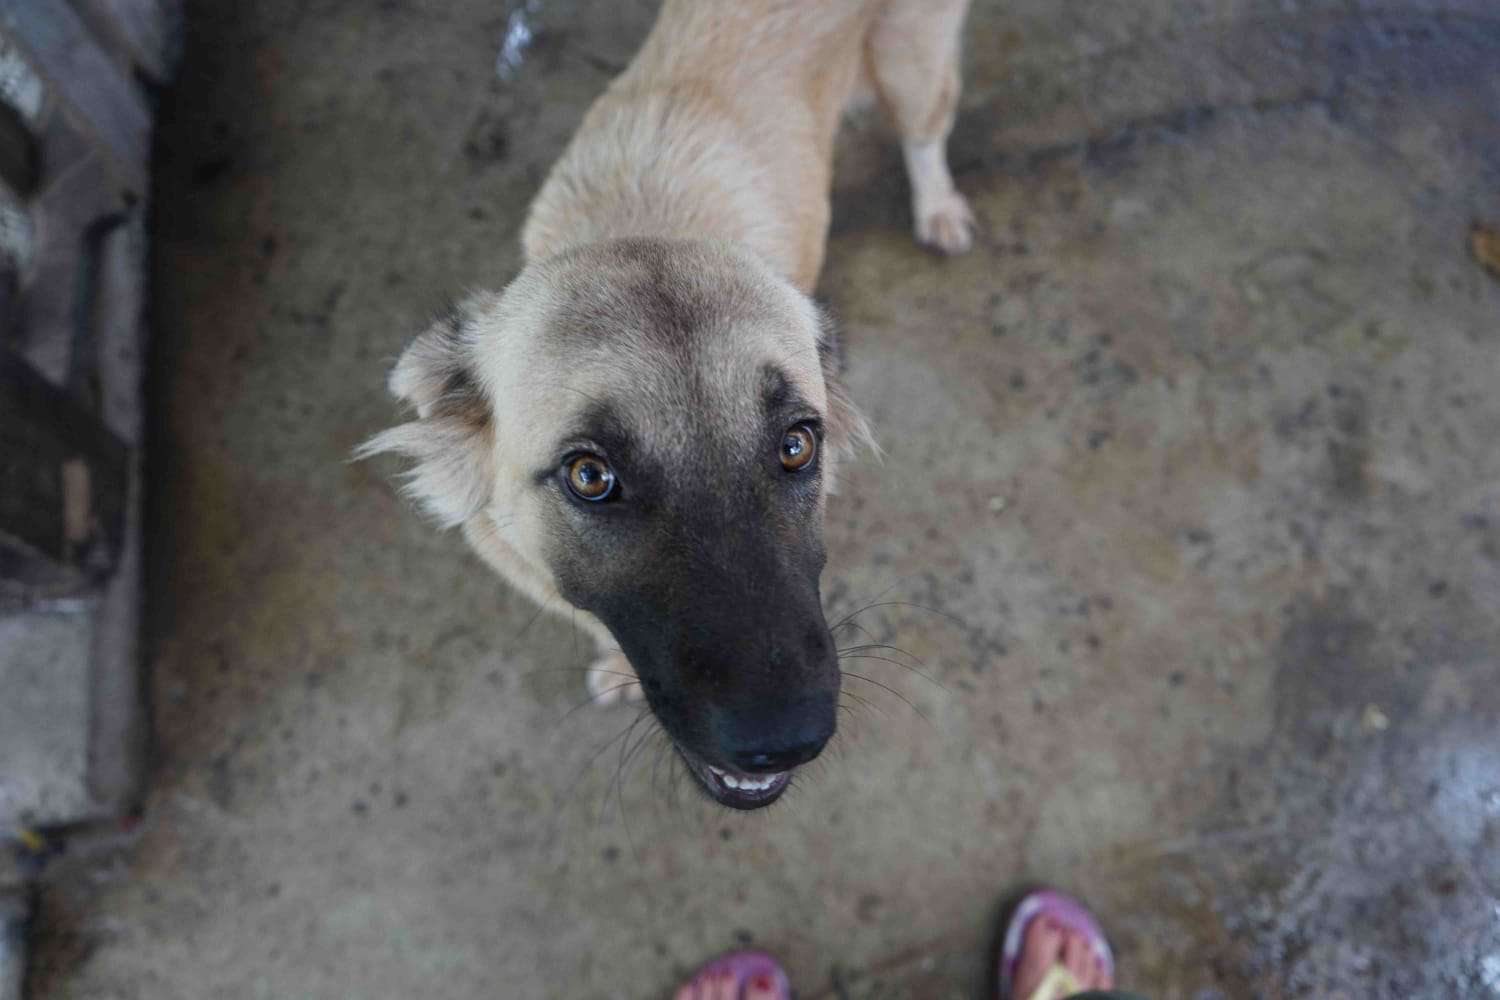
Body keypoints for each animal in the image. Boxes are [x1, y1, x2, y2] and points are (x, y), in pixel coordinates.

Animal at [361, 0, 974, 810]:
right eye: (589, 476)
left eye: (796, 444)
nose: (786, 741)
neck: (640, 219)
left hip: (913, 61)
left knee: (924, 130)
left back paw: (939, 208)